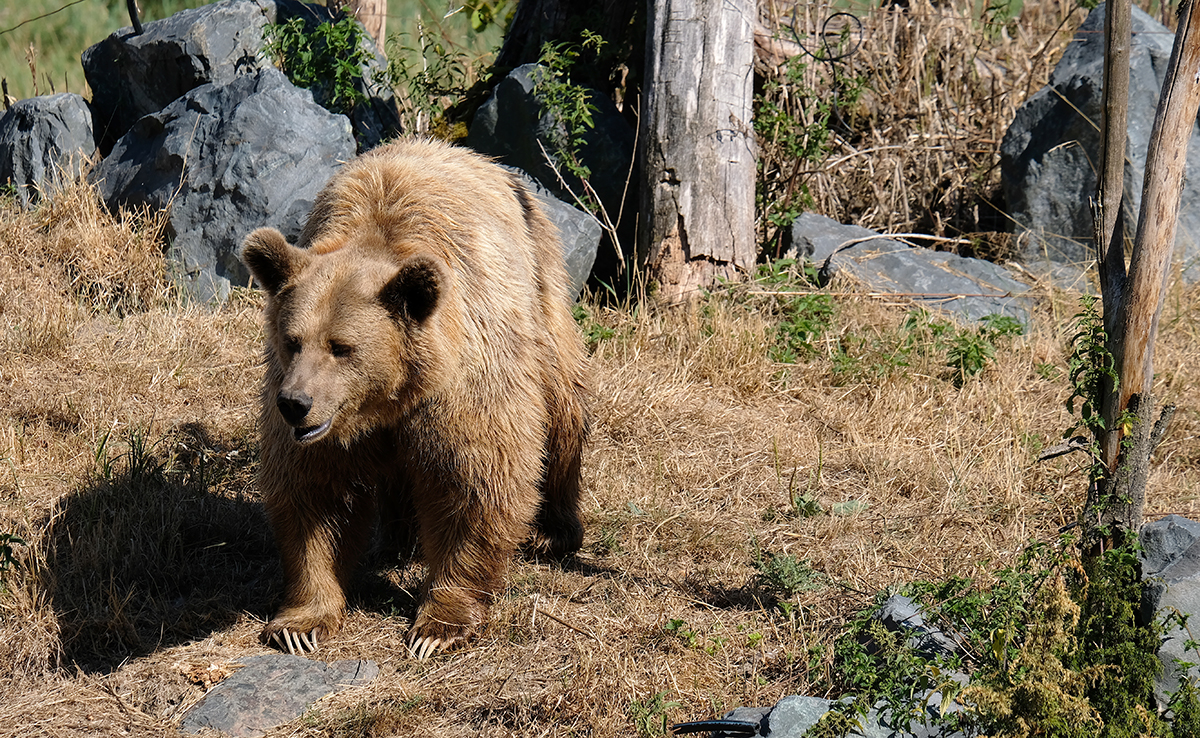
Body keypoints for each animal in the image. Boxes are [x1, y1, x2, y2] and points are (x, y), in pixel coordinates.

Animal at [237, 137, 585, 657]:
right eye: (292, 340)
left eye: (342, 347)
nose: (296, 404)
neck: (387, 399)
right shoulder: (321, 431)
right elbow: (315, 495)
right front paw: (300, 624)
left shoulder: (462, 382)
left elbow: (473, 484)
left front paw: (437, 627)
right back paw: (399, 539)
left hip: (540, 291)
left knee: (563, 406)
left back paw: (554, 531)